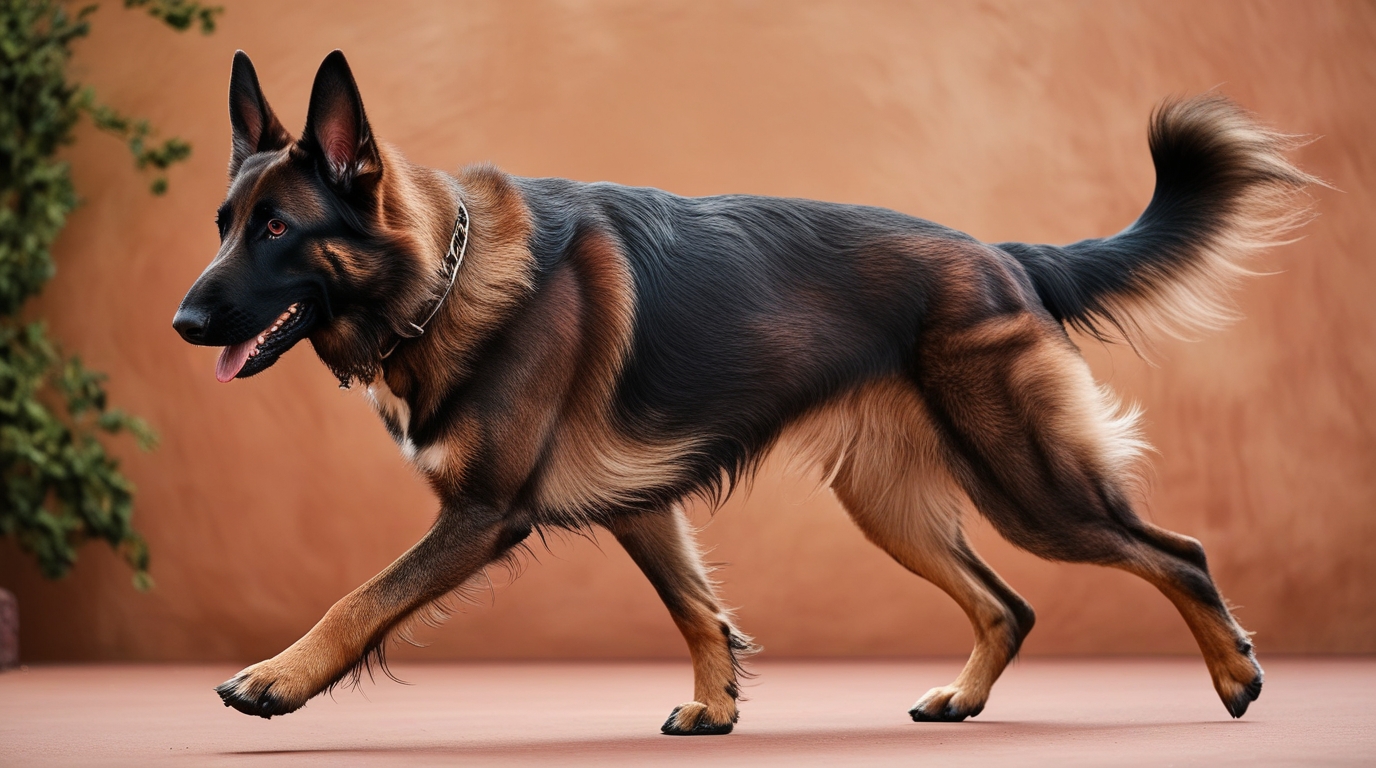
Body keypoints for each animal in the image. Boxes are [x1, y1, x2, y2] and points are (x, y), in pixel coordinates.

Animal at [177, 51, 1315, 737]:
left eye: (276, 229)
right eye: (223, 224)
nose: (183, 326)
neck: (443, 278)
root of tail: (1001, 257)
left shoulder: (480, 515)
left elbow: (360, 599)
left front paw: (274, 678)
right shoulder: (641, 508)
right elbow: (695, 609)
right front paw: (717, 706)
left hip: (1030, 488)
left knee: (1175, 551)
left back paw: (1233, 677)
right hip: (891, 507)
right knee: (1010, 602)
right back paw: (961, 697)